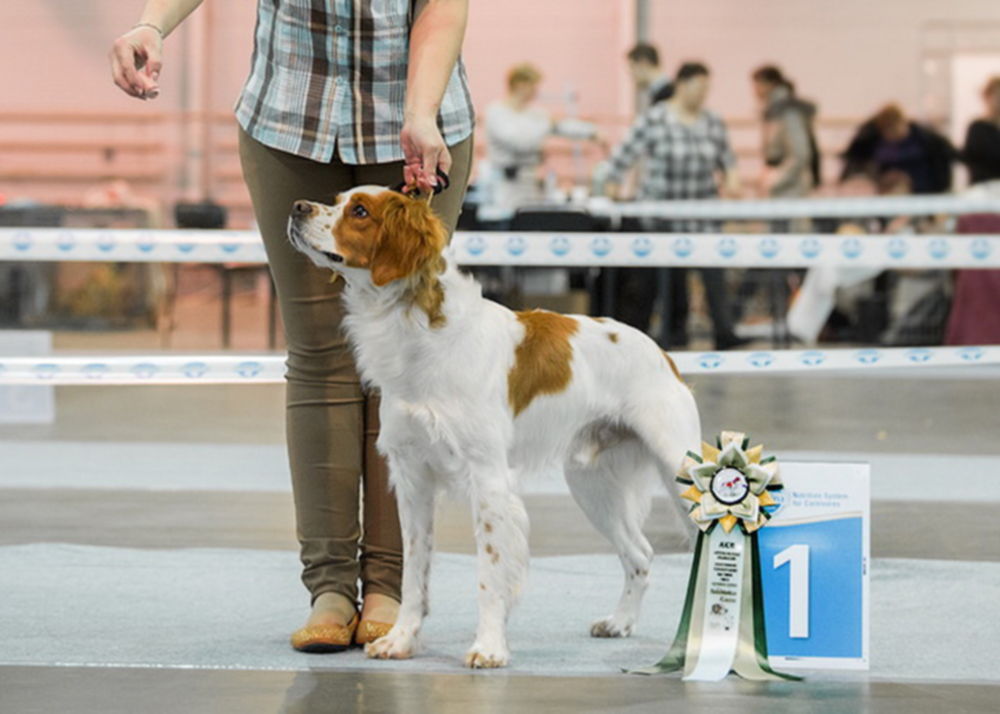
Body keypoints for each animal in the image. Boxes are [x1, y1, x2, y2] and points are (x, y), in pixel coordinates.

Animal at [286, 185, 700, 668]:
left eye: (360, 211)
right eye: (337, 200)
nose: (297, 207)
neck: (419, 334)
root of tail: (663, 354)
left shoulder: (487, 479)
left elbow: (489, 572)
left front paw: (488, 647)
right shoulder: (413, 478)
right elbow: (414, 573)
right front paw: (401, 639)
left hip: (679, 469)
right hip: (593, 486)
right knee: (640, 553)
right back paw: (620, 622)